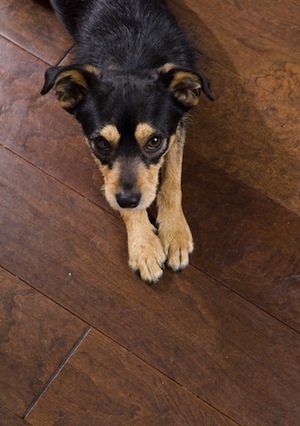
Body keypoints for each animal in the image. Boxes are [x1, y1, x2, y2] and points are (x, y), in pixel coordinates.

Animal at [41, 0, 213, 282]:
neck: (131, 57)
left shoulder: (177, 126)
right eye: (101, 143)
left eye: (154, 141)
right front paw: (143, 245)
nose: (127, 200)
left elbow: (172, 181)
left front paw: (175, 232)